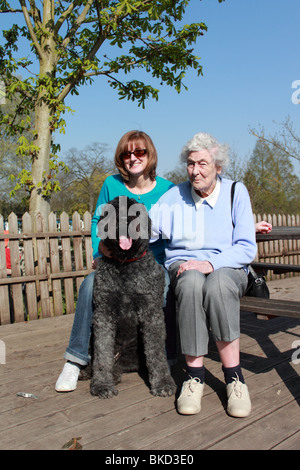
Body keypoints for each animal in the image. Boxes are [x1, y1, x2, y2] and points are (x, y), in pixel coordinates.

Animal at [90, 196, 177, 398]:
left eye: (136, 212)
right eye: (113, 211)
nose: (124, 221)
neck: (126, 265)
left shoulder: (152, 313)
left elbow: (156, 351)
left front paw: (162, 382)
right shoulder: (103, 314)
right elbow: (102, 351)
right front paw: (101, 384)